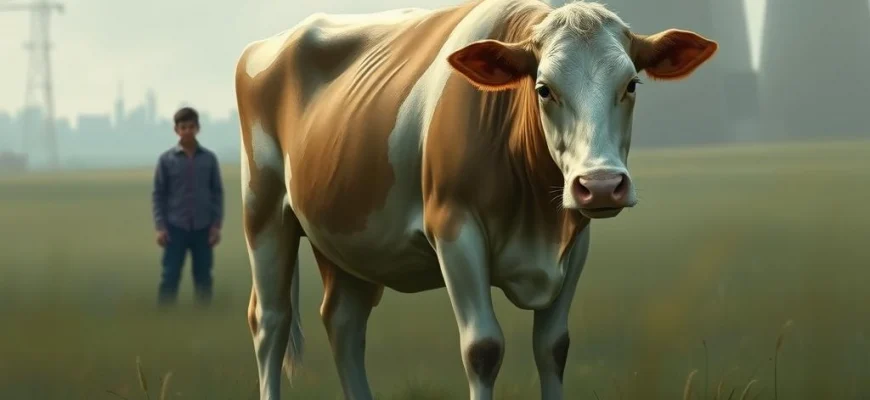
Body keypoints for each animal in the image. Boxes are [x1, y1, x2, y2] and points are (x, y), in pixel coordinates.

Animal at [234, 0, 717, 399]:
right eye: (544, 88)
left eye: (632, 84)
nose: (600, 184)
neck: (538, 219)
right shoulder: (454, 228)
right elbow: (483, 348)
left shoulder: (576, 240)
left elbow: (553, 347)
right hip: (264, 210)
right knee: (270, 322)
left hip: (348, 238)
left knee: (344, 324)